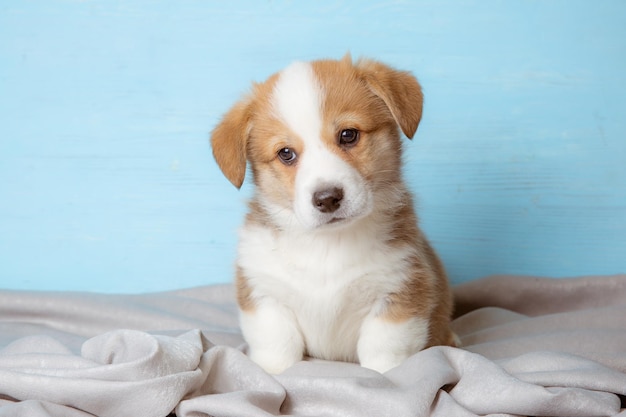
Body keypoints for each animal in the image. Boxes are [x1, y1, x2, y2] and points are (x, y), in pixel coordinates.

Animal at [210, 53, 454, 372]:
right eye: (285, 153)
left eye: (348, 135)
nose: (327, 199)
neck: (328, 244)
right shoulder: (264, 294)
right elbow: (277, 346)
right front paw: (270, 374)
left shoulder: (399, 291)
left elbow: (383, 351)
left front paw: (386, 378)